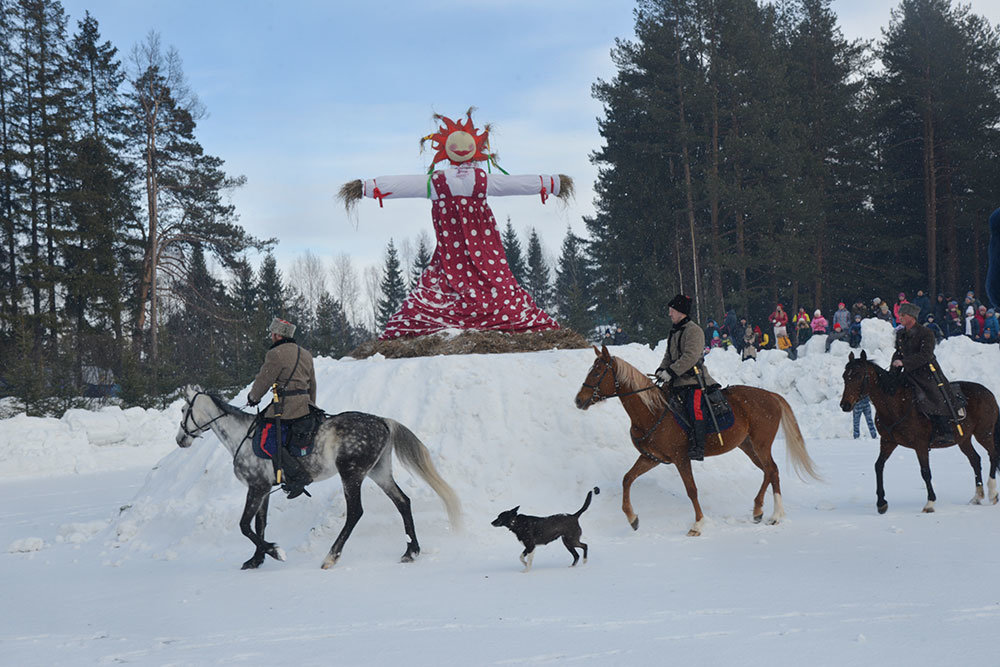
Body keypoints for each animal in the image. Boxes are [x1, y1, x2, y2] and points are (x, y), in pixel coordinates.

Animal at [175, 386, 460, 568]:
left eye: (183, 410)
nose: (180, 440)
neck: (242, 435)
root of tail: (382, 421)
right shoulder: (263, 489)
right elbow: (260, 524)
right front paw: (256, 559)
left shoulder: (256, 487)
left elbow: (245, 525)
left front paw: (275, 552)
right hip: (379, 472)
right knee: (403, 502)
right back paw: (411, 551)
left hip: (351, 473)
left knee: (355, 512)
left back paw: (331, 556)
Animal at [572, 348, 820, 536]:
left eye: (597, 372)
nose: (579, 400)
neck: (654, 411)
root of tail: (771, 396)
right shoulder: (652, 458)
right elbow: (627, 479)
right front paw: (632, 518)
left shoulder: (681, 458)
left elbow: (691, 490)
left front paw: (698, 524)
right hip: (748, 446)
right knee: (770, 471)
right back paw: (766, 511)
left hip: (760, 444)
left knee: (771, 469)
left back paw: (770, 512)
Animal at [836, 352, 1000, 516]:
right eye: (844, 376)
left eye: (858, 375)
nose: (845, 405)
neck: (895, 404)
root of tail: (988, 393)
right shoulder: (888, 442)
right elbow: (878, 466)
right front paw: (881, 503)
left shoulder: (920, 445)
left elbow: (925, 472)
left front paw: (930, 503)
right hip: (964, 439)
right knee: (975, 460)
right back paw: (977, 496)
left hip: (984, 433)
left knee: (993, 455)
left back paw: (992, 492)